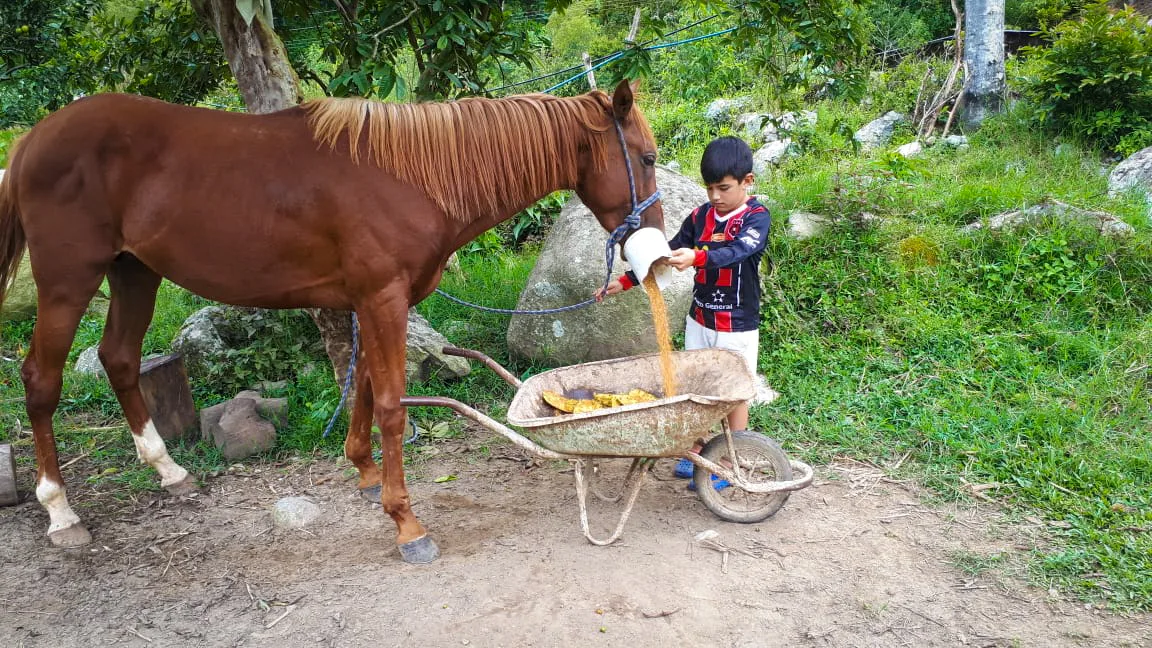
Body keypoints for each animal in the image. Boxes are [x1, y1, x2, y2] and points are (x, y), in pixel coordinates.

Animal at [0, 79, 664, 563]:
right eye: (648, 157)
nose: (653, 249)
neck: (410, 176)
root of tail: (30, 141)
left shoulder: (368, 303)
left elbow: (364, 385)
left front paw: (365, 474)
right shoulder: (383, 299)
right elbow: (392, 402)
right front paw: (406, 522)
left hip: (134, 272)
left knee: (118, 358)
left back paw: (168, 470)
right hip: (68, 282)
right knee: (41, 380)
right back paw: (60, 512)